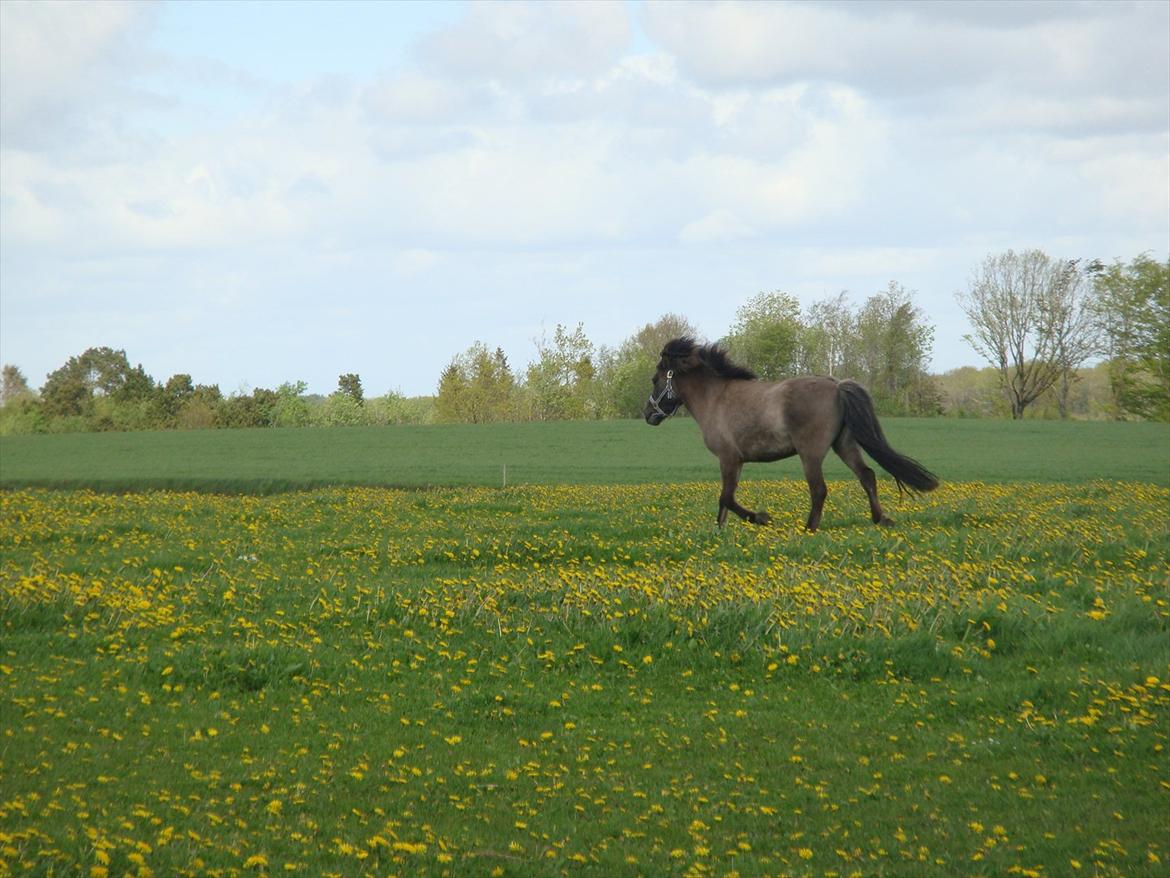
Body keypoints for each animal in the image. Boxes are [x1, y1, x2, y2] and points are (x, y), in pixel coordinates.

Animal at [645, 337, 935, 529]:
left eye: (654, 379)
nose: (648, 414)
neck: (715, 399)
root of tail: (837, 385)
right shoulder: (736, 462)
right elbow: (725, 500)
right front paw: (720, 530)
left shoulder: (728, 458)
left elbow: (726, 497)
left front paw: (760, 517)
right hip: (844, 445)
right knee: (867, 476)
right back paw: (880, 519)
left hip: (811, 453)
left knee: (819, 489)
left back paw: (809, 528)